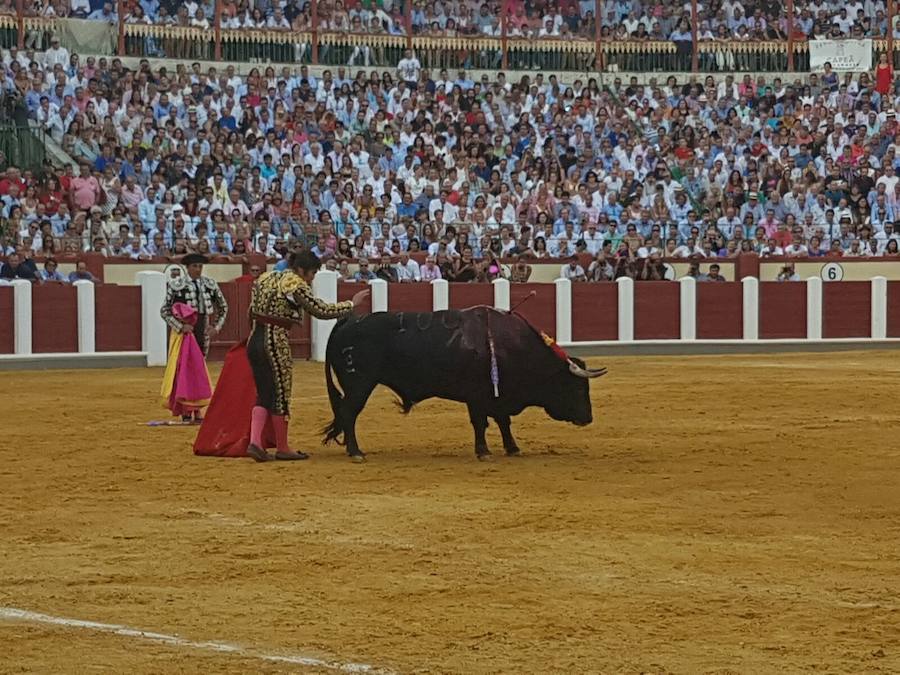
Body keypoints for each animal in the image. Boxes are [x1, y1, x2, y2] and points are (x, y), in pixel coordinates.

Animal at [320, 304, 608, 460]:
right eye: (577, 386)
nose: (588, 418)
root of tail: (347, 320)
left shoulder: (498, 396)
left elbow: (503, 422)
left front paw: (512, 448)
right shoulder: (477, 395)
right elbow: (481, 423)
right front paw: (483, 451)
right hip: (359, 384)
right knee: (349, 413)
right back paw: (356, 452)